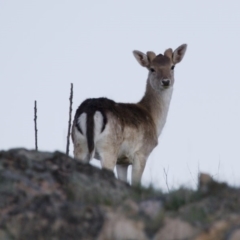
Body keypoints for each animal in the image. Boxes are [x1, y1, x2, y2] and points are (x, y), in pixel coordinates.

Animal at [71, 43, 188, 186]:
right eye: (152, 69)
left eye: (172, 66)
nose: (166, 81)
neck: (154, 119)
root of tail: (91, 111)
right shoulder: (141, 153)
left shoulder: (122, 161)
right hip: (108, 149)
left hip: (79, 145)